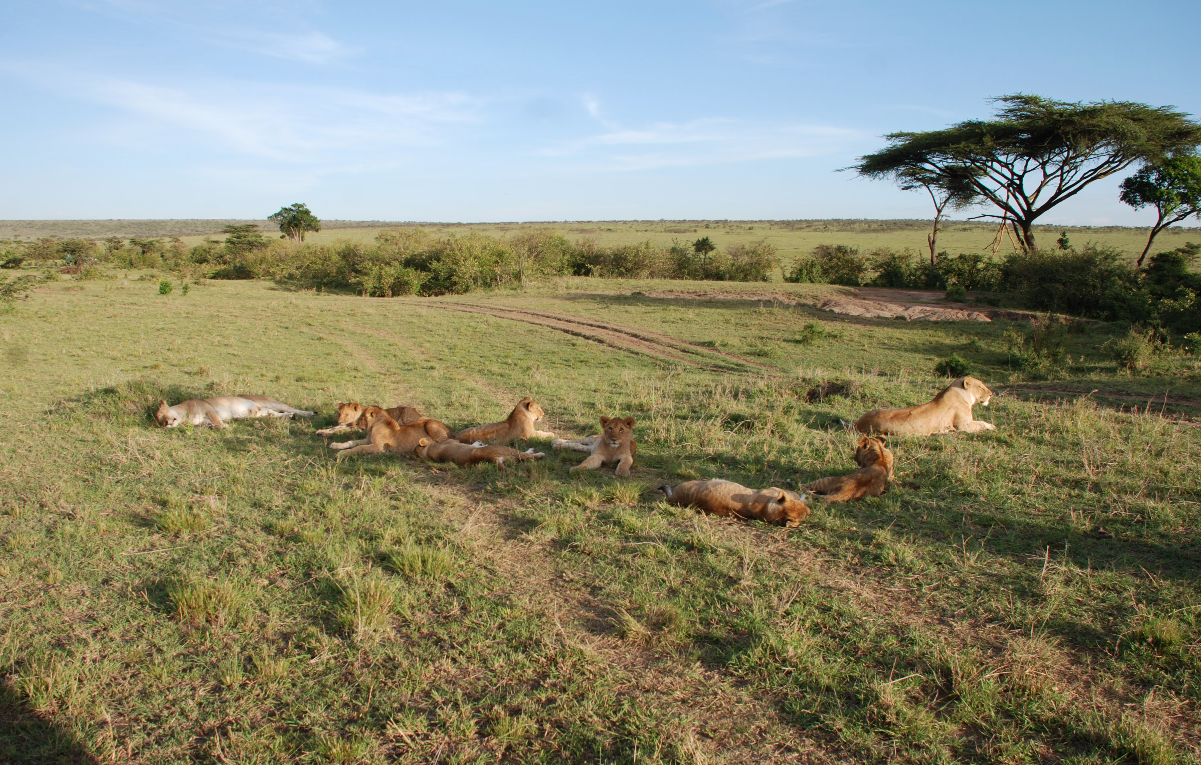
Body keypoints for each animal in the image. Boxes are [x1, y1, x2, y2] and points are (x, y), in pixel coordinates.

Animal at [854, 376, 996, 435]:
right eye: (980, 386)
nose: (991, 394)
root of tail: (858, 424)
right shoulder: (964, 425)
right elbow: (981, 423)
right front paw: (992, 426)